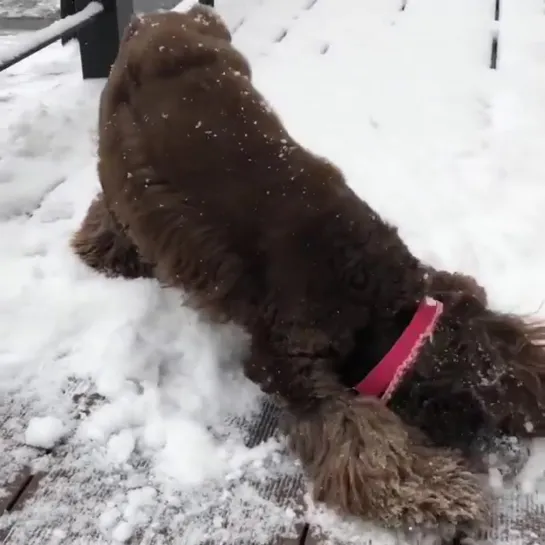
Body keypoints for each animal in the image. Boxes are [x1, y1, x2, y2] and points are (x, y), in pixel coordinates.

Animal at [71, 6, 544, 540]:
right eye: (460, 419)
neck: (371, 293)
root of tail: (161, 18)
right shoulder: (290, 364)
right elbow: (365, 442)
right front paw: (442, 492)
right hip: (122, 169)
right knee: (111, 208)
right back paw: (103, 251)